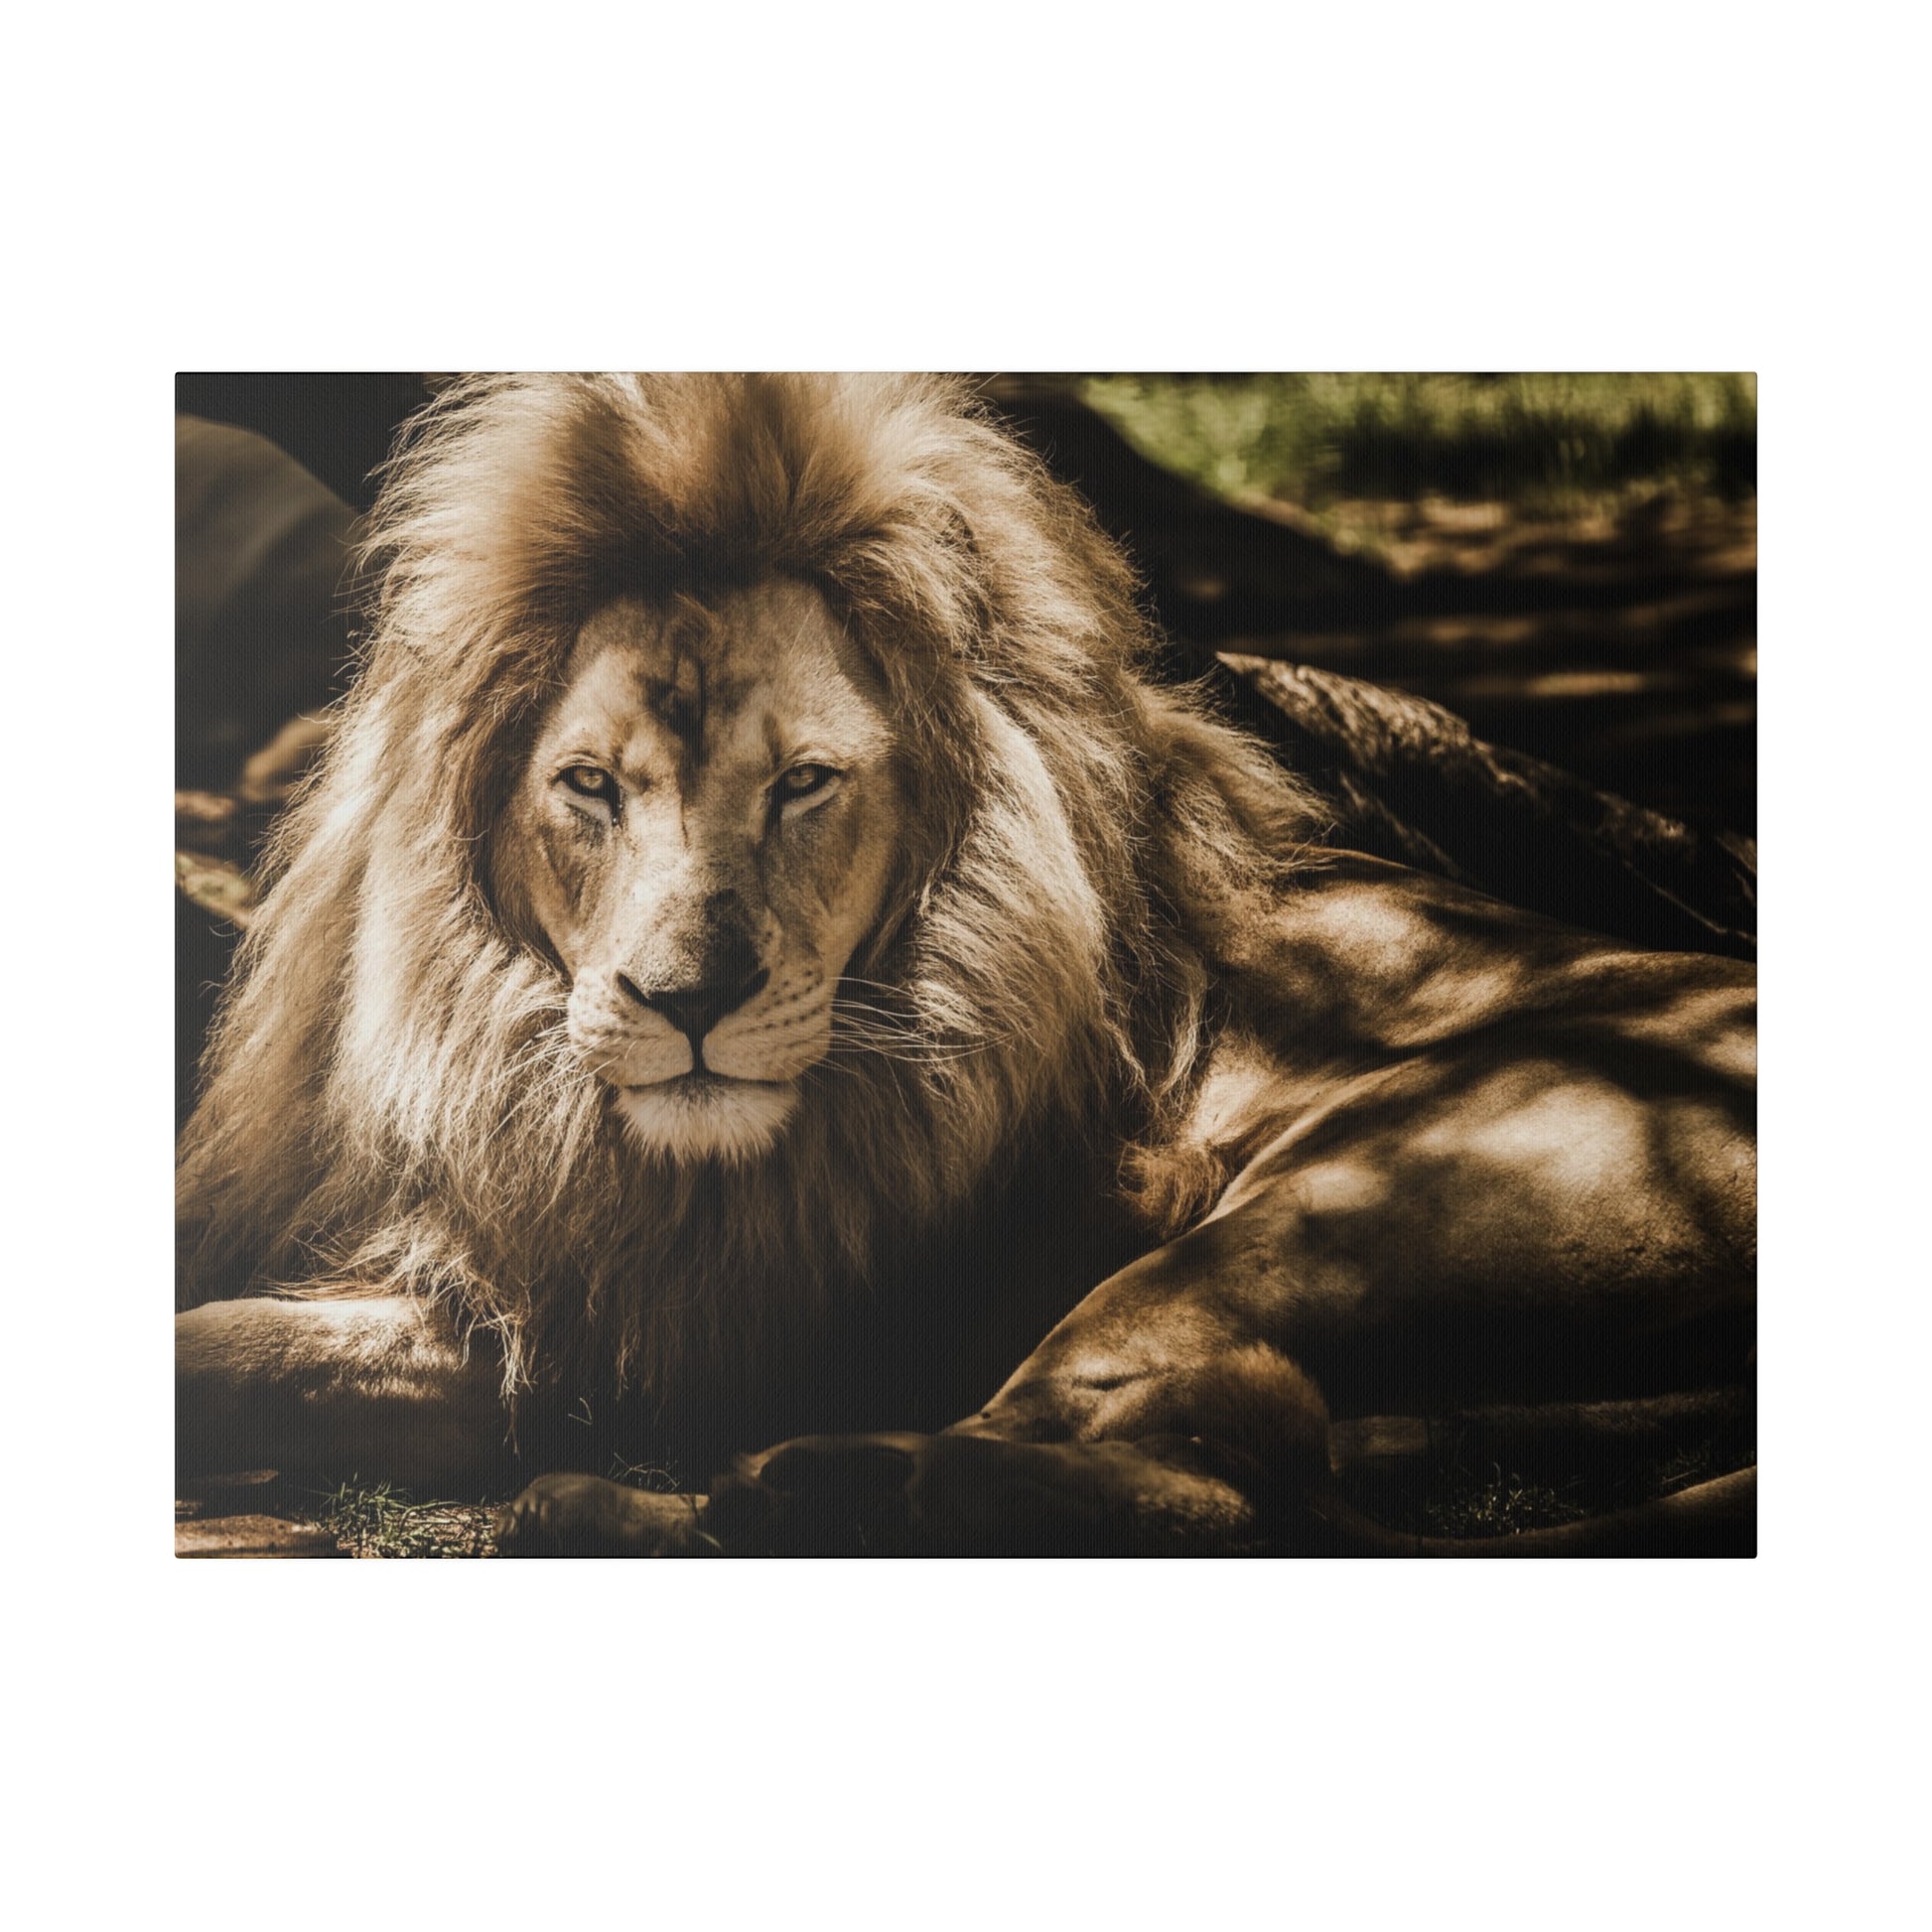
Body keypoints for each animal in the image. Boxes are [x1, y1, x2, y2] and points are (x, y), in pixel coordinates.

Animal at [176, 372, 1756, 1555]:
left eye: (804, 783)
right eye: (590, 787)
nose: (689, 1004)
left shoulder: (687, 1322)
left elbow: (217, 1345)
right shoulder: (535, 1280)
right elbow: (244, 1343)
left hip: (1325, 1207)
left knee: (1201, 1480)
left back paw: (714, 1497)